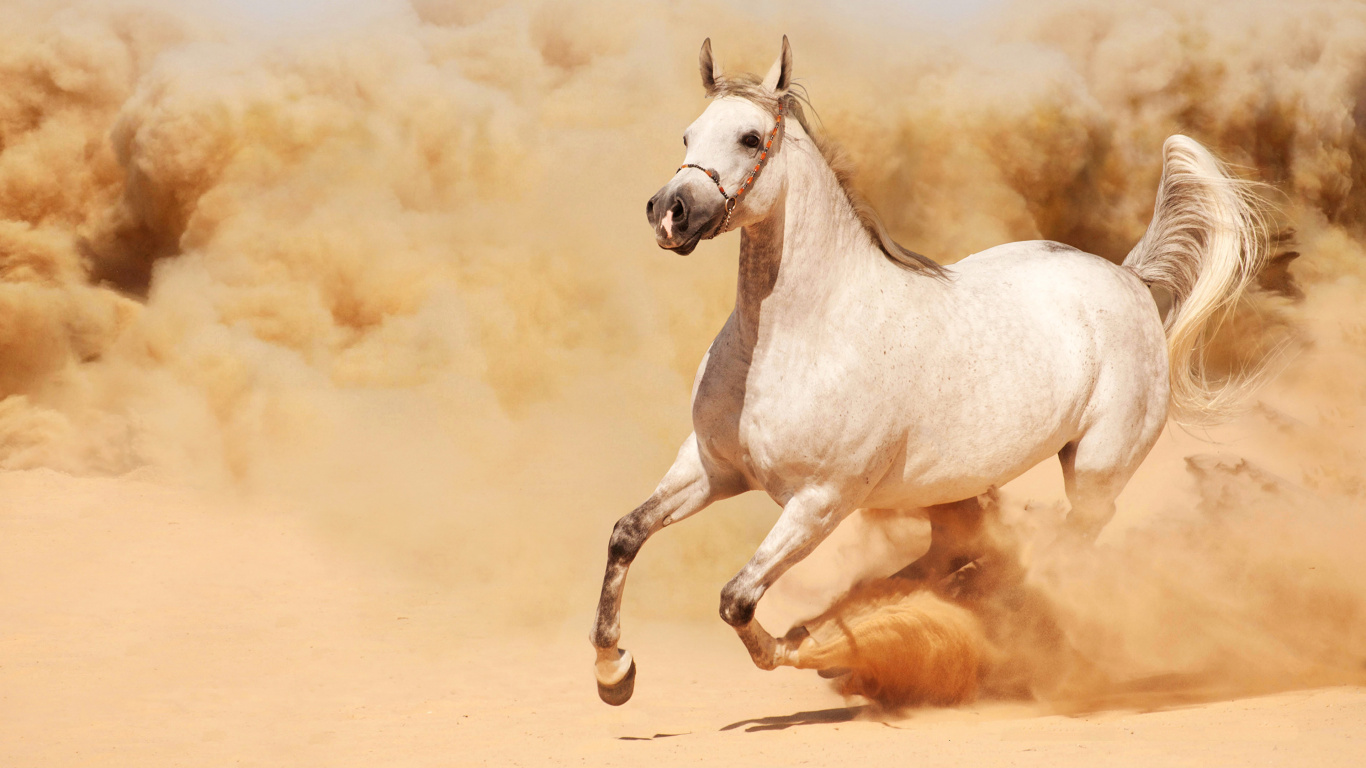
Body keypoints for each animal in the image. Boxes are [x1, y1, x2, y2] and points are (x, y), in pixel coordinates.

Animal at [590, 36, 1270, 705]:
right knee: (960, 557)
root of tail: (1127, 279)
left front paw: (802, 648)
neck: (795, 338)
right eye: (687, 135)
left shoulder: (820, 502)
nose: (669, 212)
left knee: (1057, 554)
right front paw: (613, 671)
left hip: (1096, 473)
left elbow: (737, 600)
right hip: (960, 490)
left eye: (750, 138)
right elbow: (626, 533)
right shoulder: (711, 467)